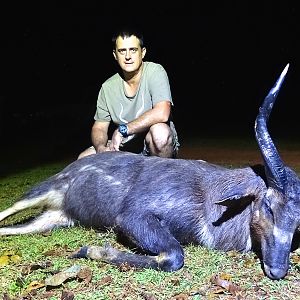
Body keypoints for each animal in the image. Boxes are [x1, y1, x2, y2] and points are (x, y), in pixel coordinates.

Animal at [0, 62, 300, 278]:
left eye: (298, 223)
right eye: (268, 206)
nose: (277, 271)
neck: (208, 198)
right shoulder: (131, 217)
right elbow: (174, 256)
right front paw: (88, 250)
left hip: (50, 221)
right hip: (39, 192)